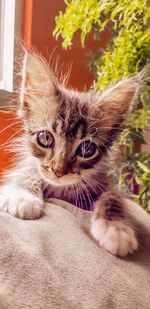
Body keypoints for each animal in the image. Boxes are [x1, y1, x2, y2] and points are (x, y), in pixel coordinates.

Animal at [0, 51, 139, 256]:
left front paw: (117, 229)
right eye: (45, 138)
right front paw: (23, 196)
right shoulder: (28, 163)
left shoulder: (107, 181)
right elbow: (30, 171)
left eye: (86, 149)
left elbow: (112, 197)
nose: (59, 171)